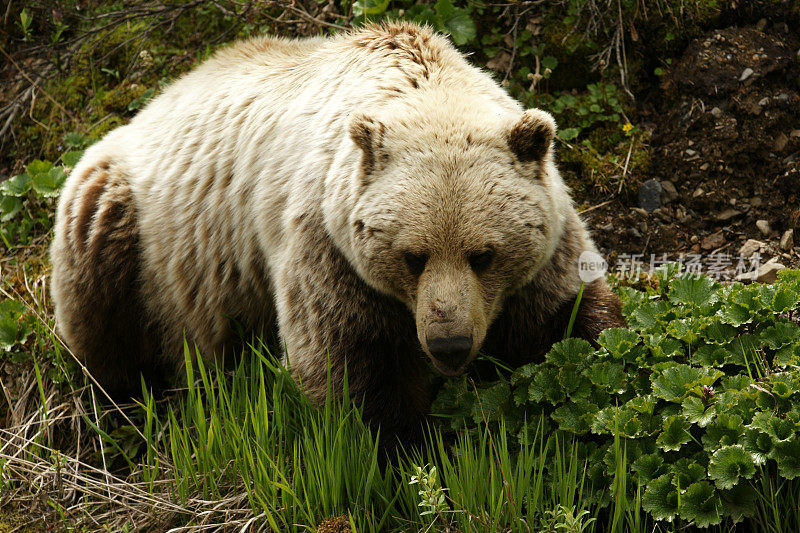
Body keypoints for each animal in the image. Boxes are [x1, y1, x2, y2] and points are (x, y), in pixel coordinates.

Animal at [50, 20, 624, 436]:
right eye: (413, 256)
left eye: (483, 254)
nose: (450, 345)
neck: (425, 86)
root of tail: (156, 97)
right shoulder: (328, 245)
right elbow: (347, 365)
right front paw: (401, 450)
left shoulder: (546, 246)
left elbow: (568, 317)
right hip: (131, 221)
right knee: (99, 304)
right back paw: (119, 406)